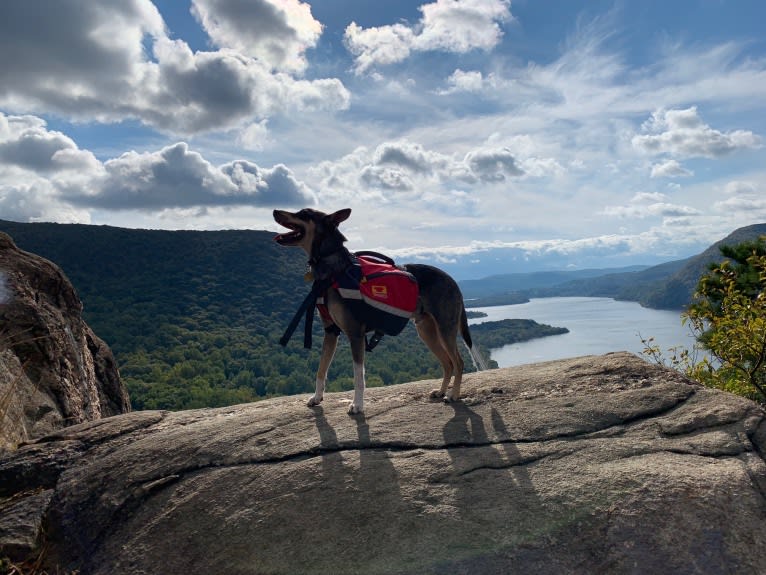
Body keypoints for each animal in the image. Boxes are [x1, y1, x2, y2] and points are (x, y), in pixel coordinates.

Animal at [274, 207, 480, 414]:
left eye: (304, 213)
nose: (275, 211)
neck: (332, 269)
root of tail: (453, 282)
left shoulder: (355, 334)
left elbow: (358, 376)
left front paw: (357, 404)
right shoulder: (331, 332)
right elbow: (321, 369)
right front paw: (317, 397)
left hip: (445, 329)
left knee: (458, 362)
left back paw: (453, 395)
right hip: (427, 332)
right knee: (447, 363)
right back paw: (441, 391)